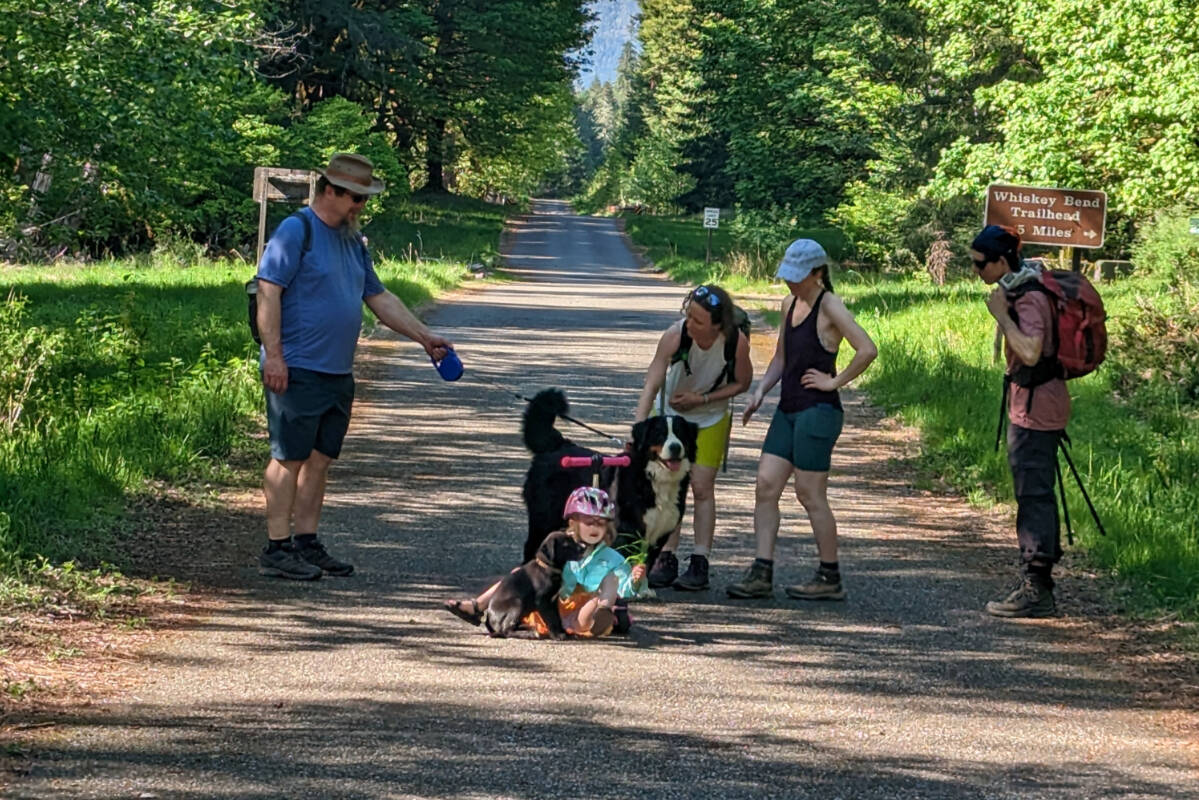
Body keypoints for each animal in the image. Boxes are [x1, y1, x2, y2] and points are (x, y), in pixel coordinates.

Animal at [520, 386, 700, 568]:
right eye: (660, 434)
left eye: (681, 434)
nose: (675, 447)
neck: (655, 479)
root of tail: (557, 444)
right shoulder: (626, 535)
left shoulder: (657, 539)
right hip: (544, 519)